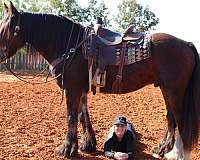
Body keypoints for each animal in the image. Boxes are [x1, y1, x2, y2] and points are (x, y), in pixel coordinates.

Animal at [0, 1, 199, 159]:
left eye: (5, 28)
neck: (72, 45)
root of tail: (186, 43)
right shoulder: (81, 89)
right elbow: (83, 115)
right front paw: (86, 144)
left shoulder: (72, 90)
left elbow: (71, 117)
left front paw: (67, 149)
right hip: (166, 89)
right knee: (171, 118)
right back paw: (162, 148)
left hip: (174, 91)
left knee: (179, 119)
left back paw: (176, 153)